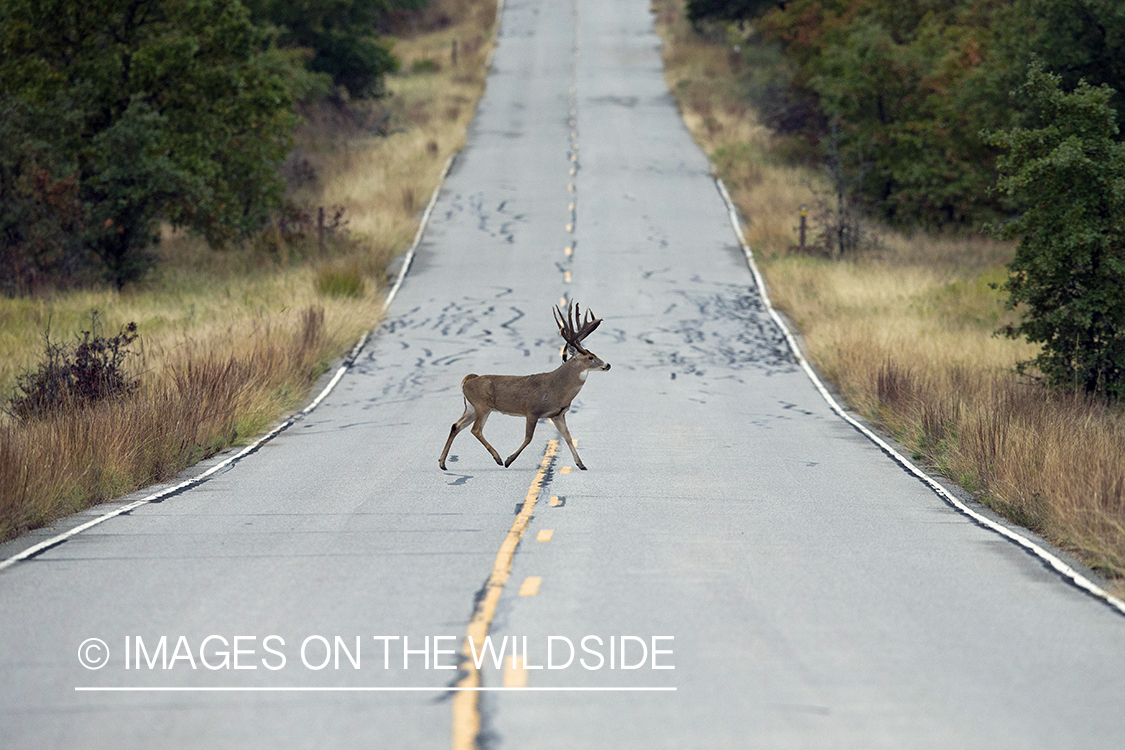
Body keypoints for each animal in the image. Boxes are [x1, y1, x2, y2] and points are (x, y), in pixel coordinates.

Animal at [441, 303, 616, 470]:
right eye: (590, 357)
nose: (607, 365)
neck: (557, 389)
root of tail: (468, 380)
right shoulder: (532, 410)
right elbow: (528, 438)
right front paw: (508, 460)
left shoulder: (558, 414)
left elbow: (568, 437)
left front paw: (581, 464)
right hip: (482, 405)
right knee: (475, 429)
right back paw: (498, 458)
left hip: (471, 407)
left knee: (456, 426)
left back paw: (442, 463)